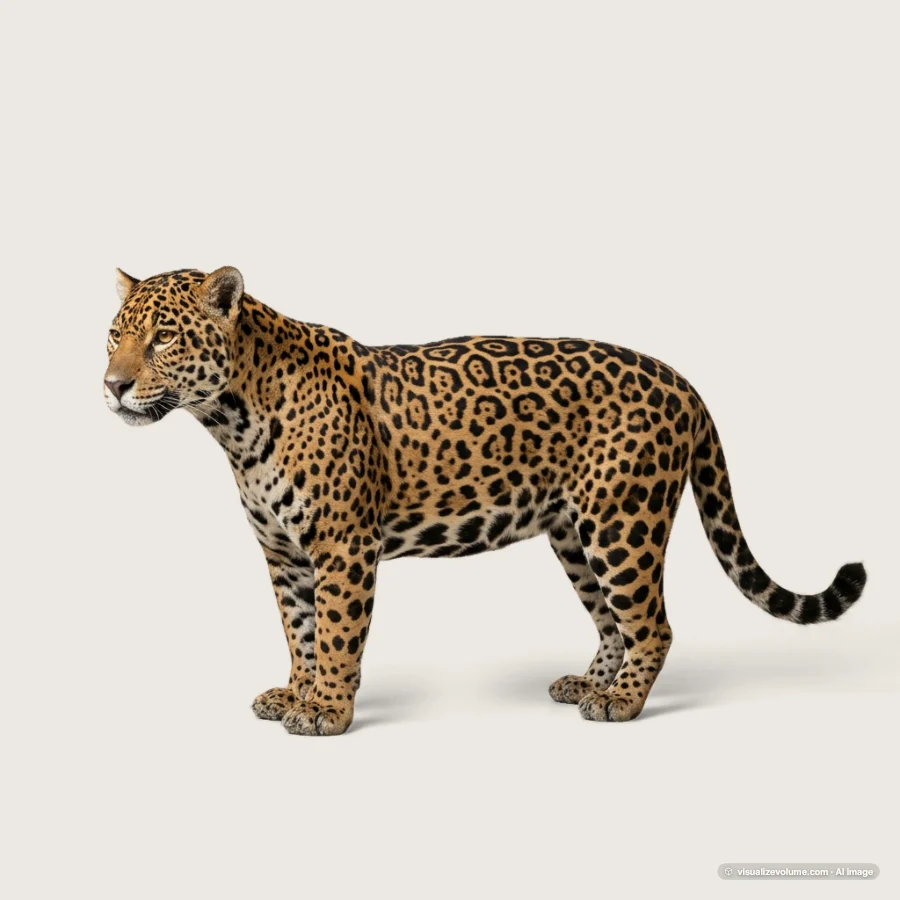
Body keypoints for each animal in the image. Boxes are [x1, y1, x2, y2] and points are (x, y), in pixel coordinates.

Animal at [103, 266, 867, 735]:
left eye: (164, 337)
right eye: (114, 335)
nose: (112, 385)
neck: (230, 419)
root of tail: (681, 380)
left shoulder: (342, 546)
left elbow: (340, 633)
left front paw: (327, 711)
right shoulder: (283, 553)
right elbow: (300, 631)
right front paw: (297, 692)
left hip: (623, 521)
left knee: (653, 624)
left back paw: (620, 703)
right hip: (572, 534)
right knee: (612, 623)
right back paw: (589, 684)